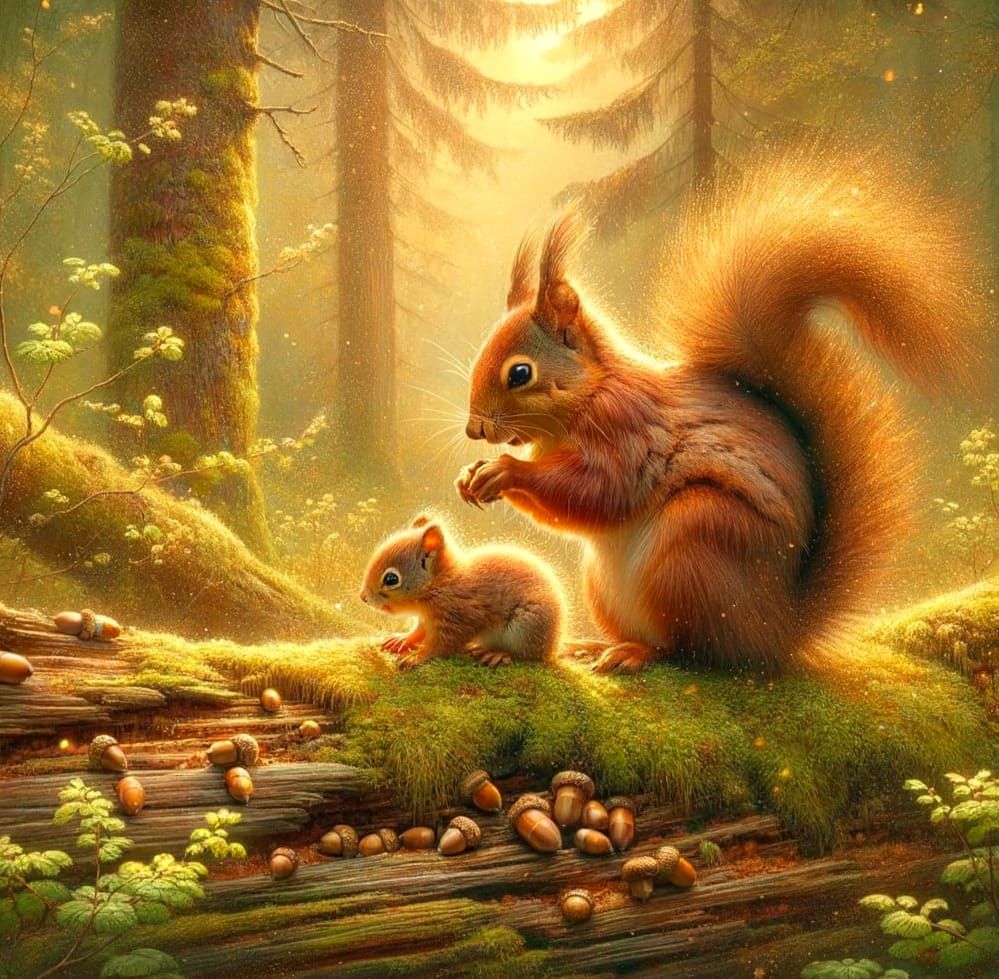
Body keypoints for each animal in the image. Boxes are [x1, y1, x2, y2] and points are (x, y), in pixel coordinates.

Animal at [360, 513, 565, 670]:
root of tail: (554, 645)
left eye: (391, 579)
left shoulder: (458, 620)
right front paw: (403, 639)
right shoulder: (427, 619)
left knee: (526, 655)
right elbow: (419, 632)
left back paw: (497, 654)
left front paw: (417, 656)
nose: (363, 598)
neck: (441, 585)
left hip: (527, 628)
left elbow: (441, 646)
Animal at [456, 147, 984, 675]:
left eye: (519, 373)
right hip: (607, 583)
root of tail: (775, 632)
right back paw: (591, 644)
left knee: (689, 649)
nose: (474, 429)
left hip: (695, 542)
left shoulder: (627, 429)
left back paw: (634, 652)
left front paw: (506, 471)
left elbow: (600, 492)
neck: (591, 391)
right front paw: (471, 475)